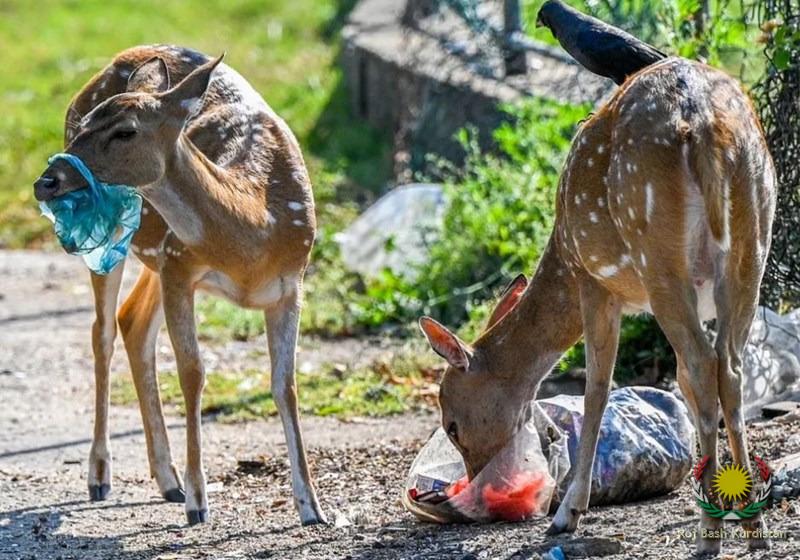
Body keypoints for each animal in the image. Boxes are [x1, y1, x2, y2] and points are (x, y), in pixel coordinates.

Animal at [32, 45, 326, 526]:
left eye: (125, 131)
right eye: (87, 122)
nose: (46, 180)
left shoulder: (291, 285)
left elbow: (285, 385)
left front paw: (312, 507)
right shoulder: (180, 266)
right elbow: (193, 373)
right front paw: (198, 502)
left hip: (154, 255)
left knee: (132, 322)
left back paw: (167, 480)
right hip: (126, 244)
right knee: (103, 333)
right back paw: (101, 475)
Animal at [420, 57, 776, 555]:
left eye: (452, 424)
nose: (476, 482)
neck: (561, 255)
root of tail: (703, 127)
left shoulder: (593, 281)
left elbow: (597, 388)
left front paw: (568, 513)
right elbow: (680, 382)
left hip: (658, 255)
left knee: (705, 366)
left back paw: (710, 533)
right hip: (751, 247)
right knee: (730, 368)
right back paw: (753, 523)